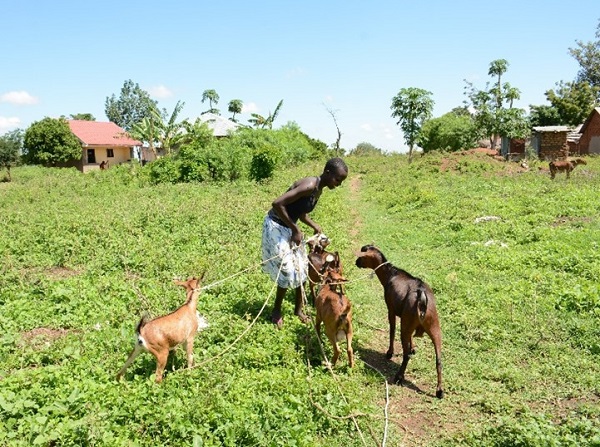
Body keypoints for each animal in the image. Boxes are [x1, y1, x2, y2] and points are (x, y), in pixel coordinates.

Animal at [354, 245, 442, 400]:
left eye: (362, 256)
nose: (356, 262)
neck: (391, 273)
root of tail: (421, 296)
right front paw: (413, 348)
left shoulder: (391, 309)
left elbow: (392, 330)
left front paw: (389, 353)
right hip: (433, 325)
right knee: (439, 359)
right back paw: (439, 391)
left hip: (407, 324)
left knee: (405, 354)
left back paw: (399, 377)